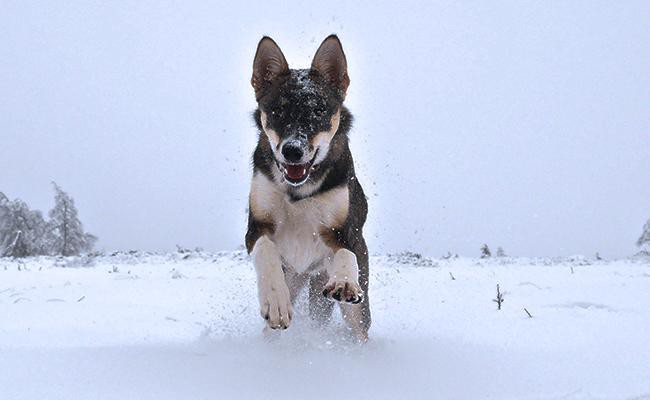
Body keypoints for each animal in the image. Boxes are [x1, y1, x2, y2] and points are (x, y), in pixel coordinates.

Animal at [246, 35, 370, 340]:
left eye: (318, 110)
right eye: (277, 111)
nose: (293, 150)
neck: (299, 190)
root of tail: (307, 273)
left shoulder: (344, 230)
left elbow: (346, 252)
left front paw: (345, 282)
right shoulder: (256, 226)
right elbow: (265, 251)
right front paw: (276, 302)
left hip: (348, 306)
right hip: (294, 279)